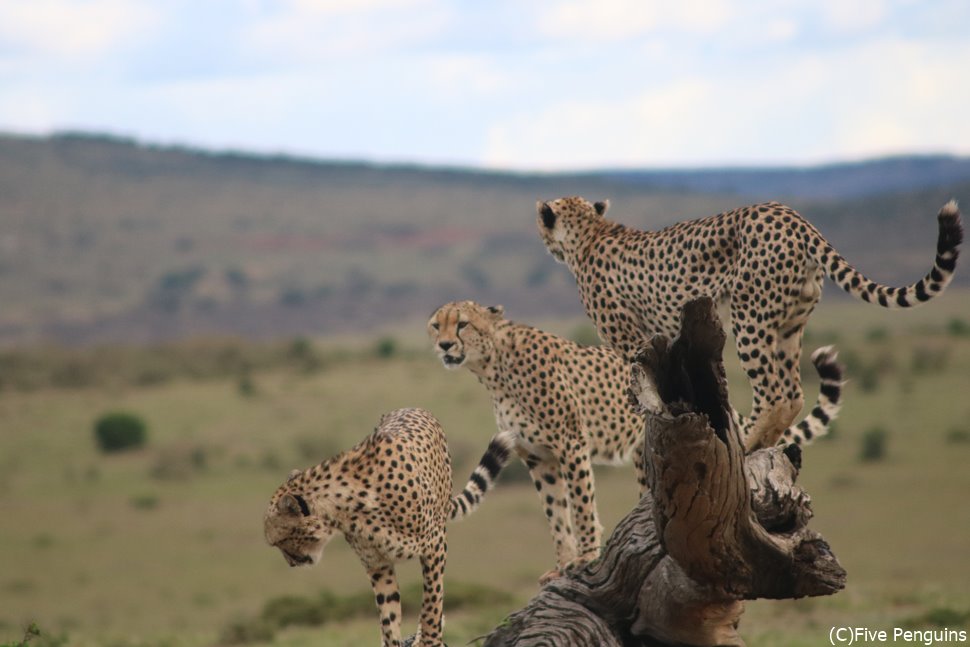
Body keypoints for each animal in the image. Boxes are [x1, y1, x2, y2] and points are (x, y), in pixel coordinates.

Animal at [260, 408, 510, 647]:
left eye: (279, 541)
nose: (291, 563)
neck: (348, 509)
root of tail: (412, 407)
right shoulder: (377, 564)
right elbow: (388, 613)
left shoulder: (435, 544)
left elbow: (432, 600)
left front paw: (430, 640)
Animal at [424, 304, 840, 584]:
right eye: (435, 325)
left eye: (462, 323)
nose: (443, 344)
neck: (491, 365)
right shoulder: (538, 457)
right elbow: (556, 513)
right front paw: (562, 564)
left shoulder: (570, 444)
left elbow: (581, 506)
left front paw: (584, 559)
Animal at [536, 197, 960, 450]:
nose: (545, 242)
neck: (590, 233)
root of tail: (793, 216)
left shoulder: (628, 338)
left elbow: (637, 379)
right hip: (789, 325)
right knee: (793, 393)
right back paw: (762, 443)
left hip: (749, 319)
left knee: (774, 394)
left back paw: (749, 442)